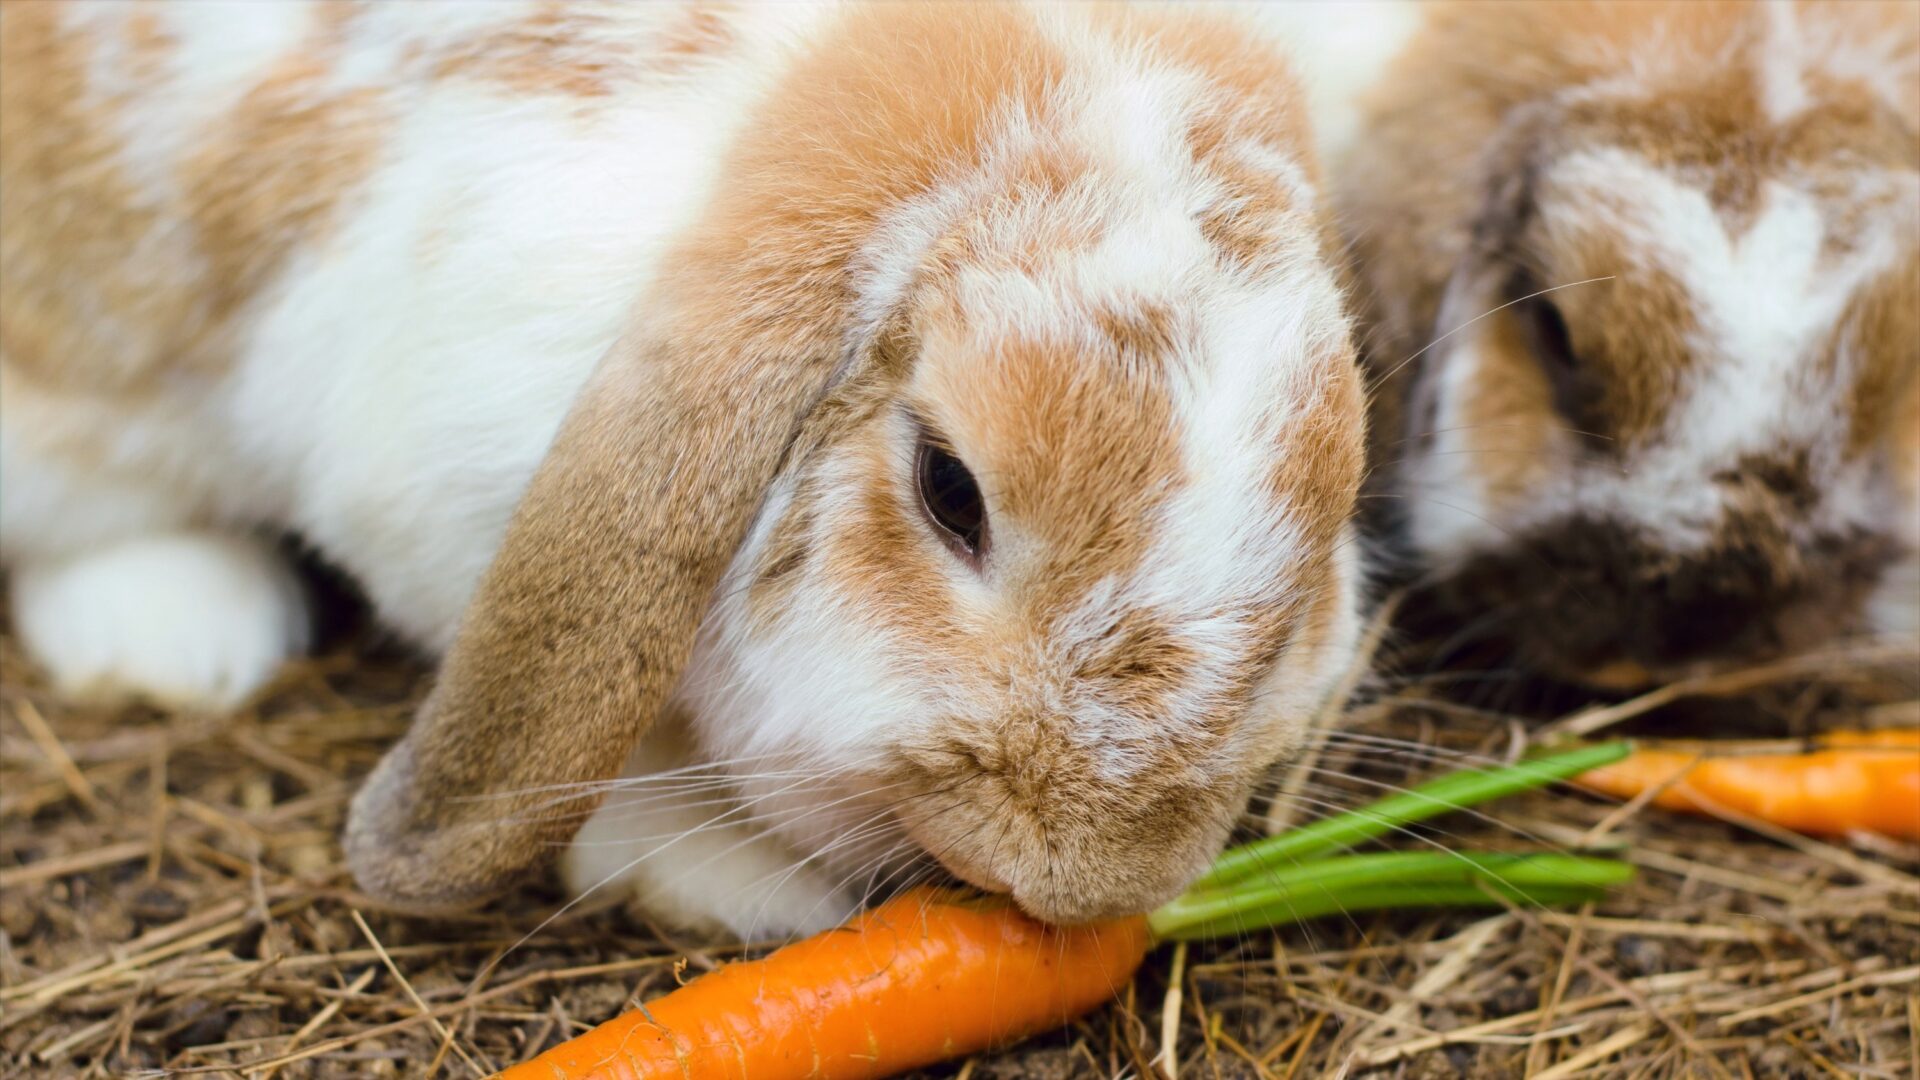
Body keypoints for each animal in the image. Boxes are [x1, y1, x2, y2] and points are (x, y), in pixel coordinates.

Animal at [7, 2, 1374, 933]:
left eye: (1330, 517)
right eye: (949, 489)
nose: (1084, 877)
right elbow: (617, 754)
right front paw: (753, 888)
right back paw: (178, 641)